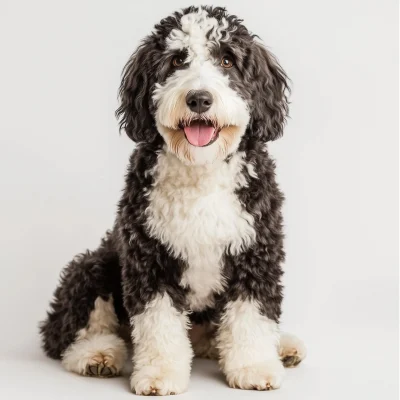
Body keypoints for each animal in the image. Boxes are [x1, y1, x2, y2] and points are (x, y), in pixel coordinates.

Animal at [39, 4, 306, 396]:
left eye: (227, 60)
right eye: (178, 60)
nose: (199, 99)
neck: (201, 171)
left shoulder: (256, 252)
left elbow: (251, 316)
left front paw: (255, 366)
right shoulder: (150, 260)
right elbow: (158, 325)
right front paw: (159, 374)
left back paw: (280, 347)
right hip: (93, 265)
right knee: (63, 335)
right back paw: (96, 354)